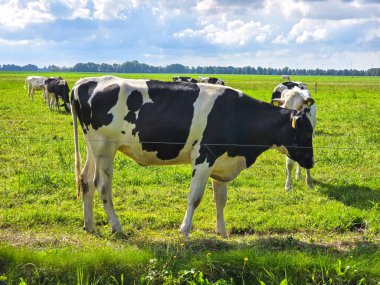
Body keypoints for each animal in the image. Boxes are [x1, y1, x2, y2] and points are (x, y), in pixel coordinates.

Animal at [71, 75, 314, 237]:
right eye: (303, 132)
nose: (311, 162)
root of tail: (85, 82)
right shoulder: (204, 157)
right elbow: (195, 197)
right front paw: (185, 230)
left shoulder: (222, 160)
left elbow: (220, 199)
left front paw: (222, 231)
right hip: (105, 148)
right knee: (102, 185)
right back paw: (117, 227)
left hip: (94, 147)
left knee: (85, 181)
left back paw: (89, 225)